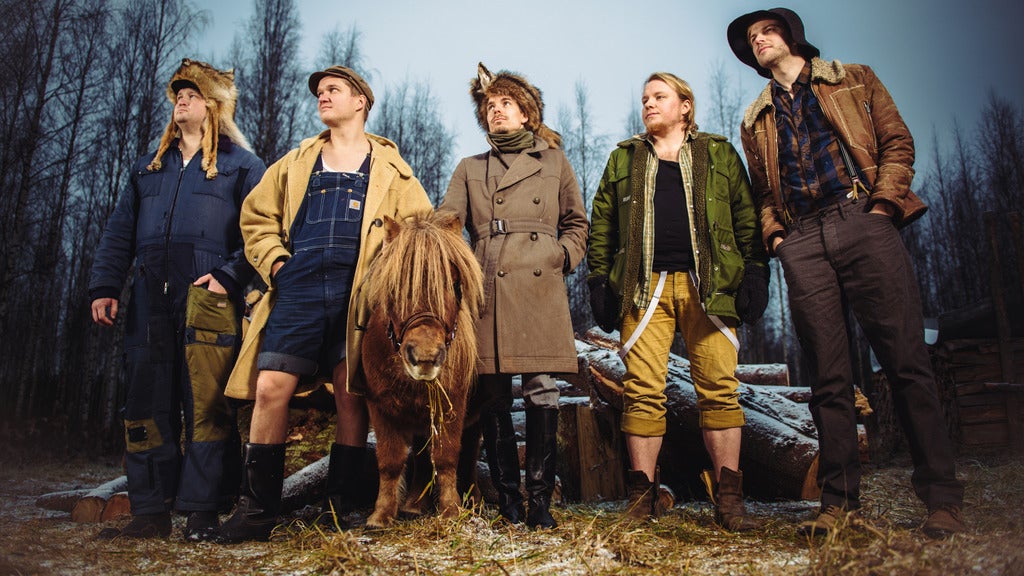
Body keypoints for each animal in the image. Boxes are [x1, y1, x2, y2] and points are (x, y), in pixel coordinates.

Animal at [360, 210, 483, 524]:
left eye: (454, 286)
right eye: (394, 287)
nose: (425, 357)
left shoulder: (453, 405)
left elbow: (447, 457)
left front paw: (451, 510)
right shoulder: (379, 406)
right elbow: (390, 461)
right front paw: (381, 514)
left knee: (470, 451)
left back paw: (473, 499)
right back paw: (414, 503)